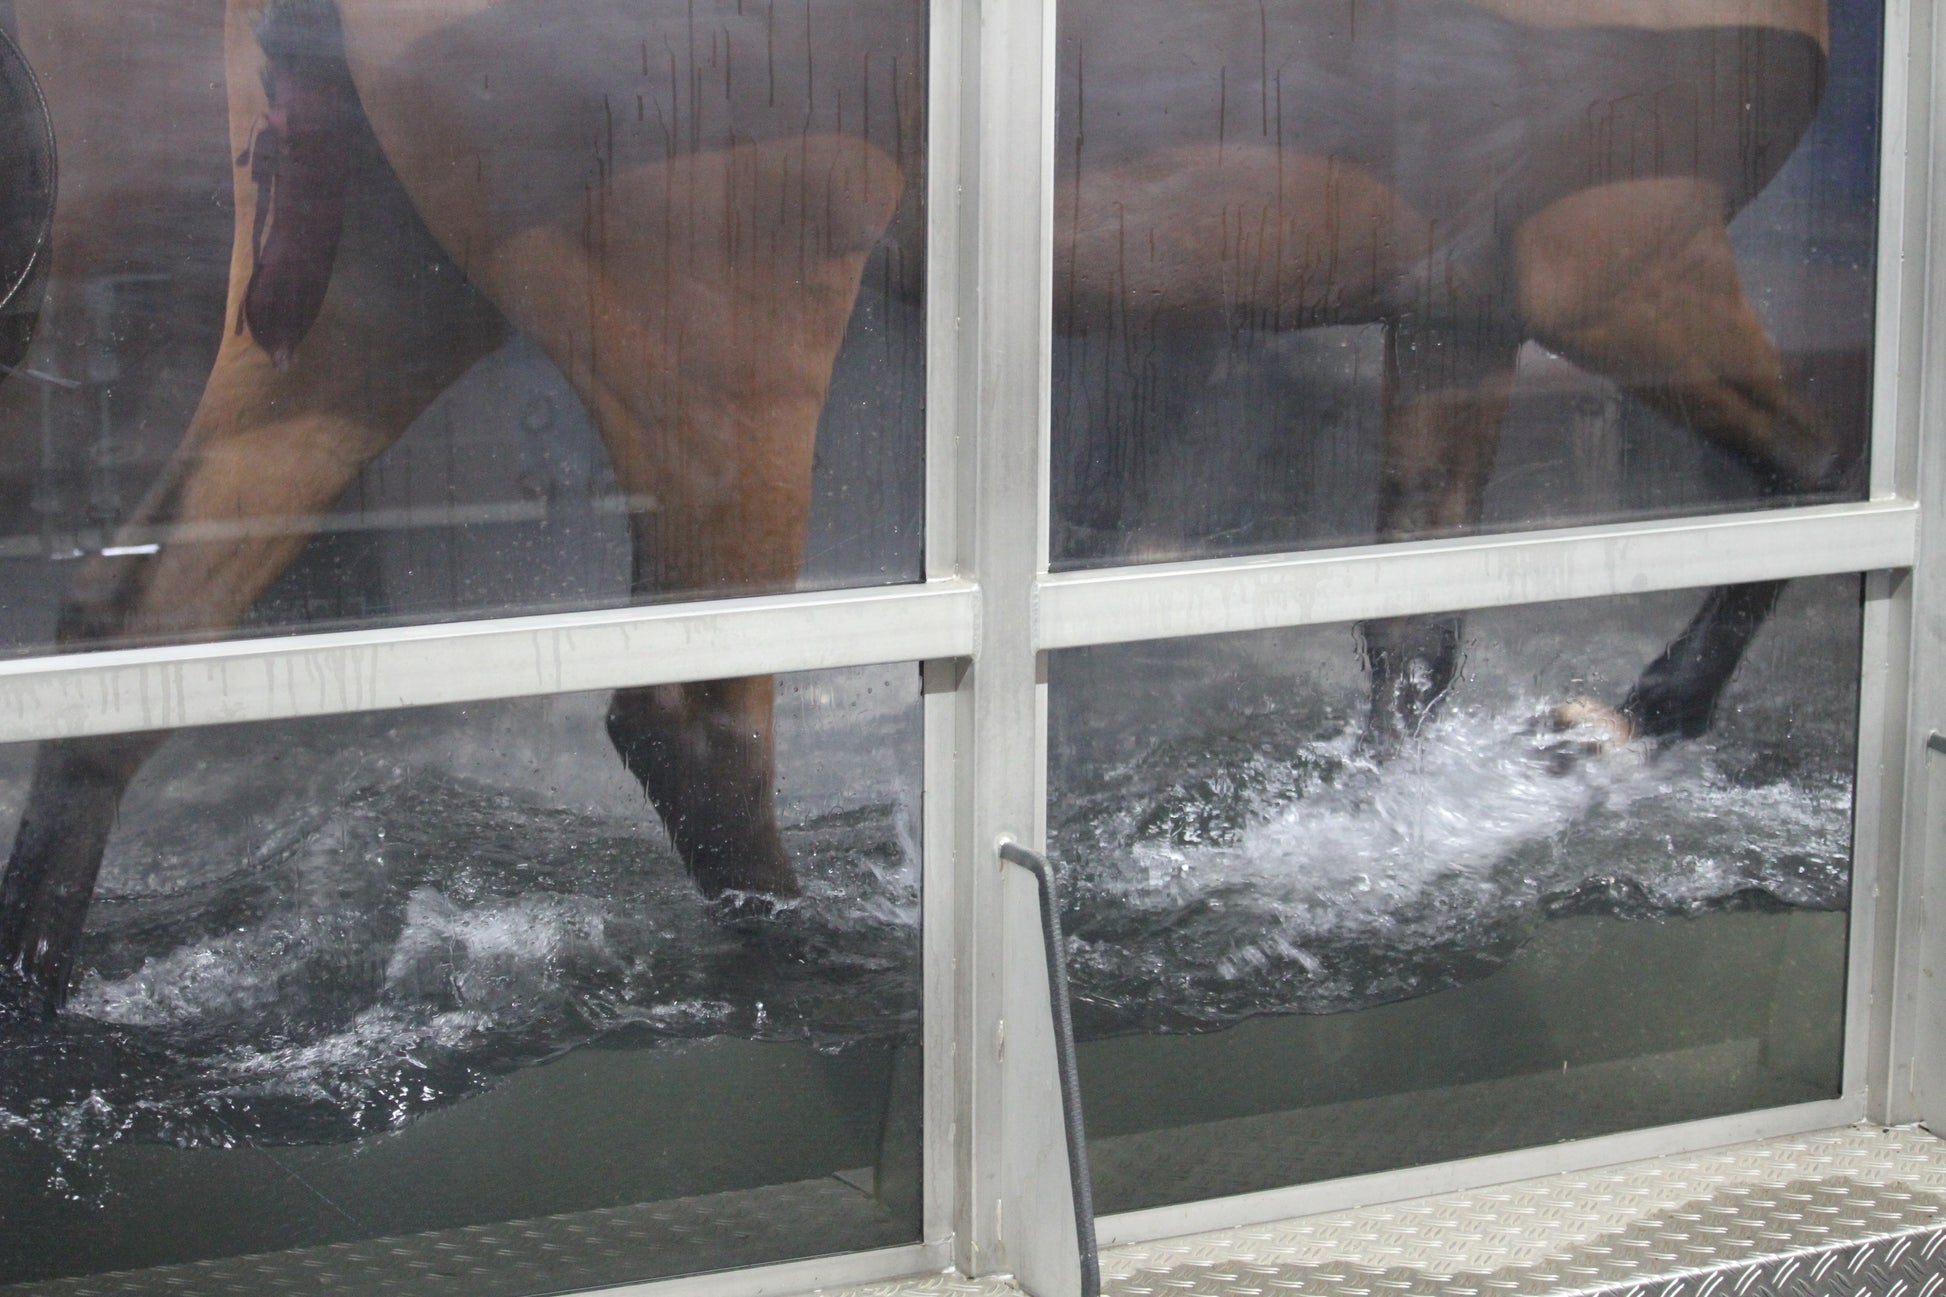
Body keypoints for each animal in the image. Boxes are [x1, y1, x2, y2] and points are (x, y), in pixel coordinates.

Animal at [0, 0, 1837, 1012]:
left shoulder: (1461, 306)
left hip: (370, 306)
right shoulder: (1617, 264)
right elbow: (1804, 490)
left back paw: (42, 993)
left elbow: (1412, 629)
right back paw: (830, 977)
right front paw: (1614, 729)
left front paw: (1410, 827)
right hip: (725, 331)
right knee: (695, 717)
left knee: (127, 639)